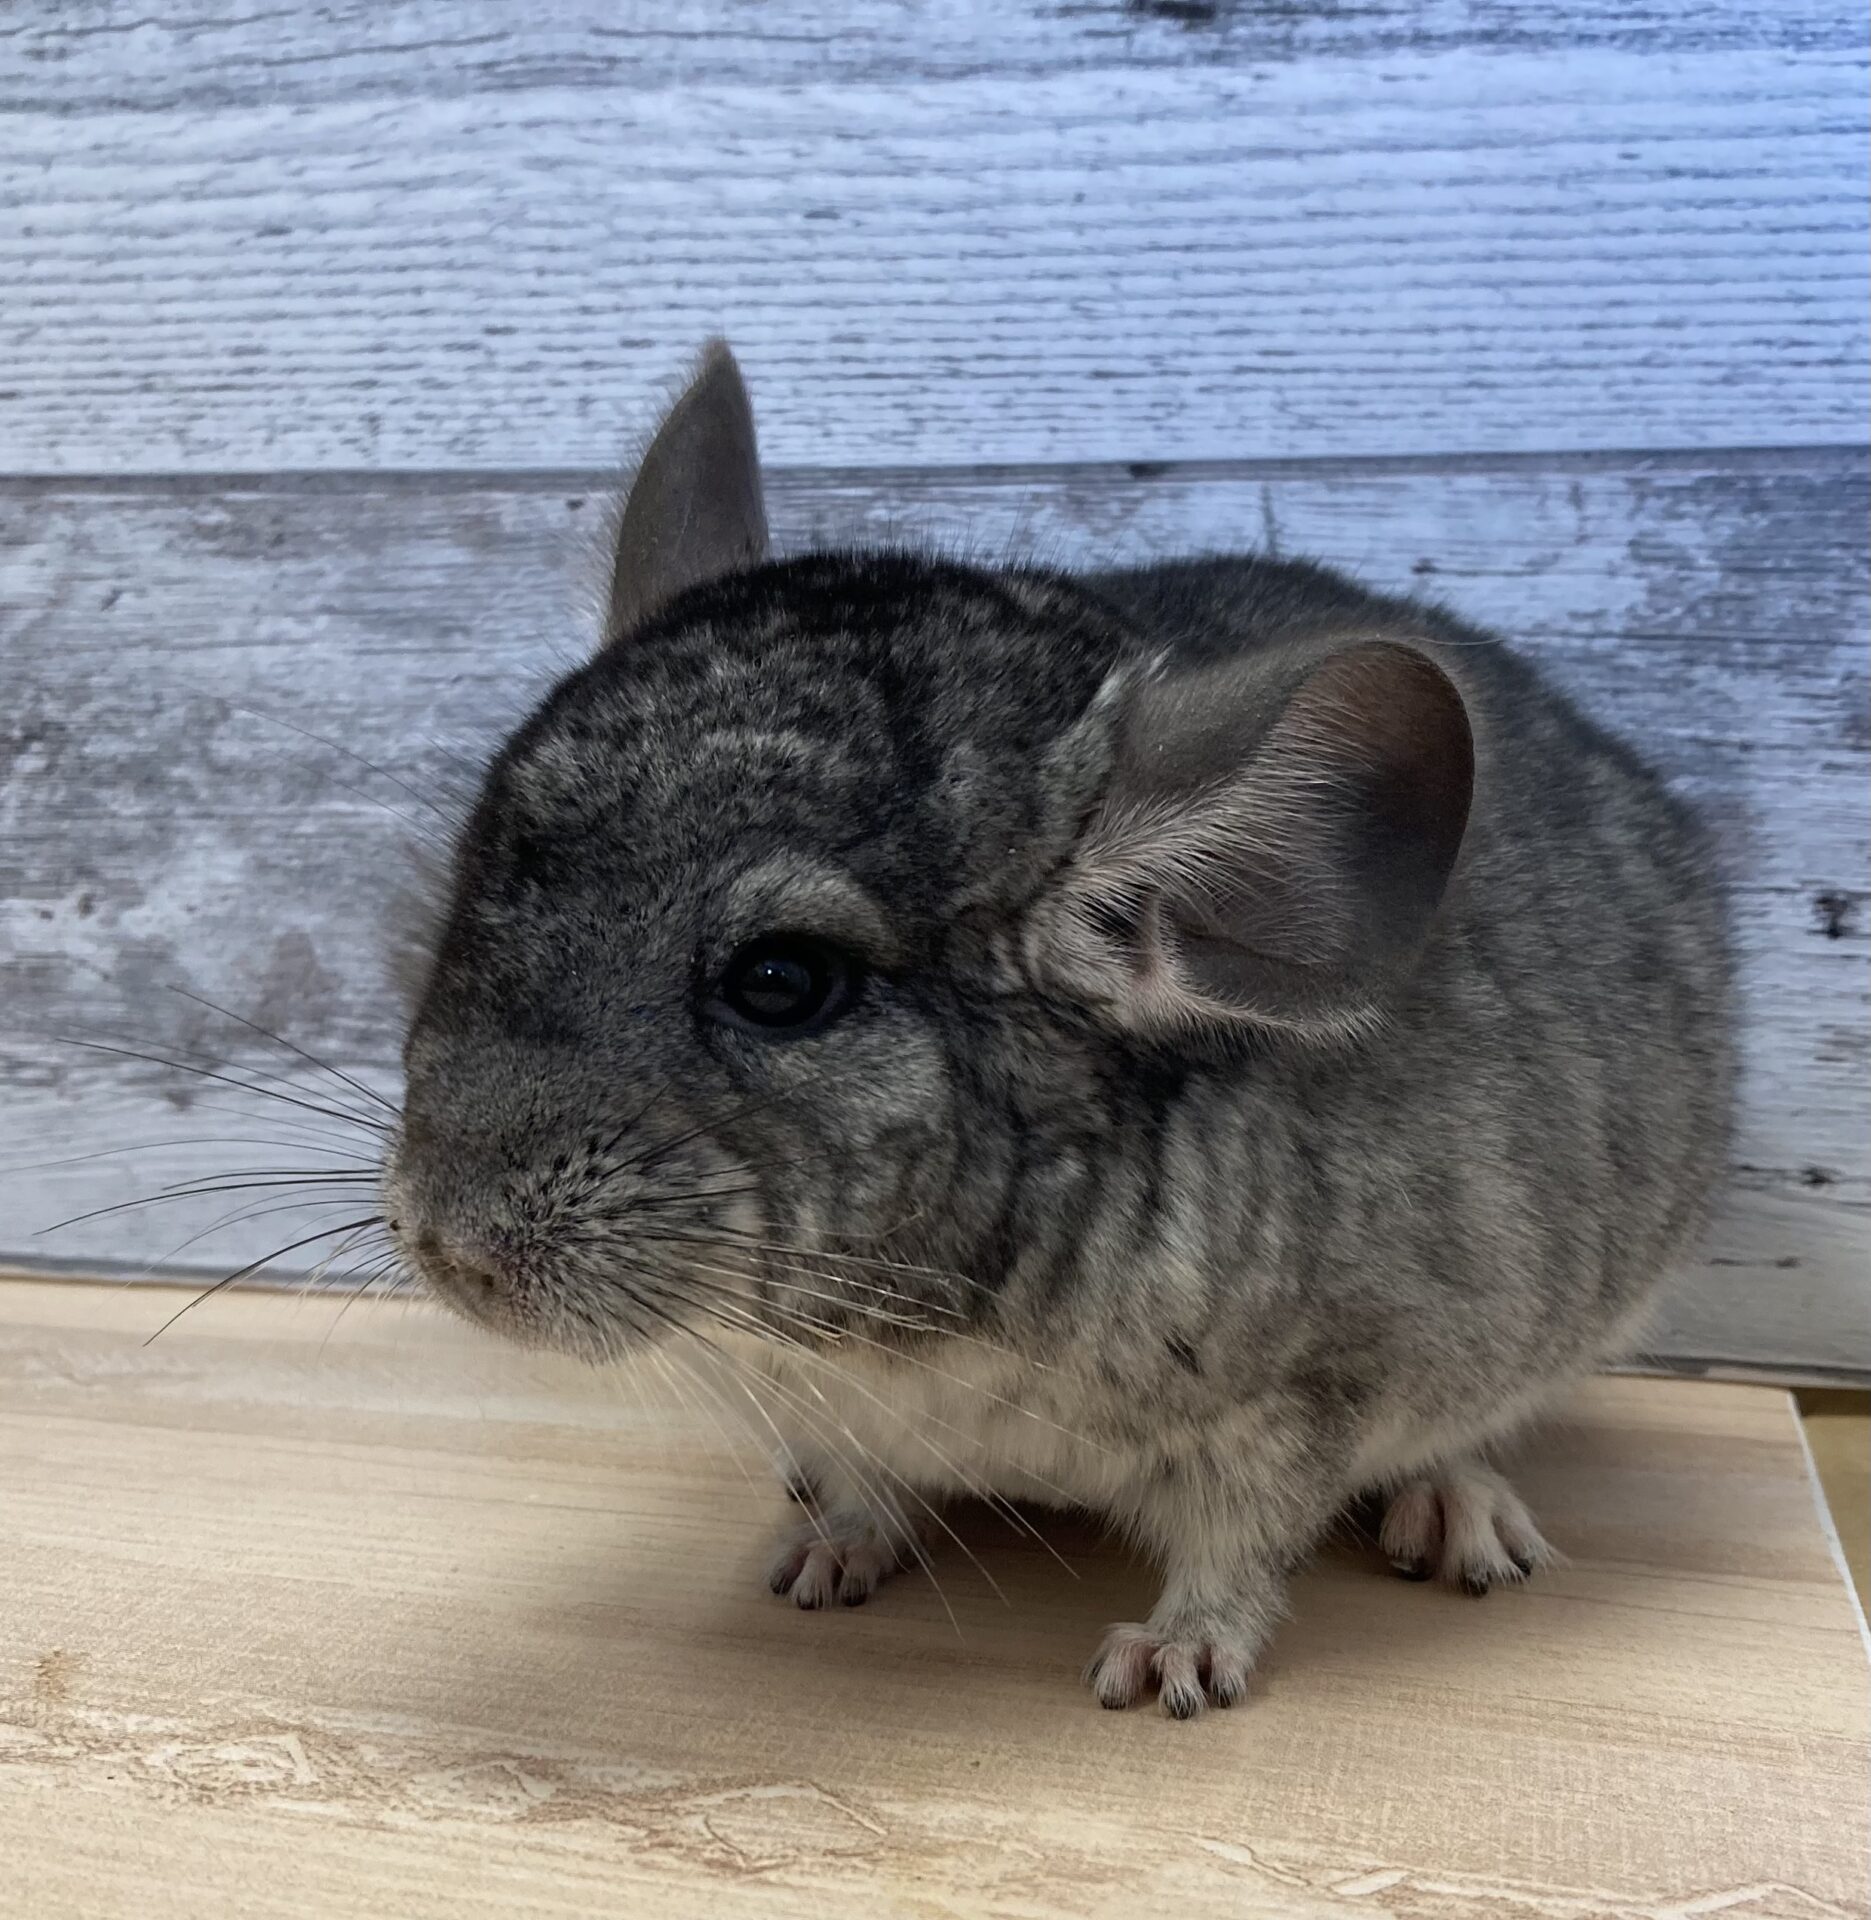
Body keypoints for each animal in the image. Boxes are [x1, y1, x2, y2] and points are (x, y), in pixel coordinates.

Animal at [384, 341, 1733, 1717]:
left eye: (781, 979)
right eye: (471, 881)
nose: (450, 1250)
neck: (905, 1344)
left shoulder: (1306, 1396)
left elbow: (1244, 1548)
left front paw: (1171, 1666)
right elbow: (863, 1489)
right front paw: (820, 1558)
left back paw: (1461, 1515)